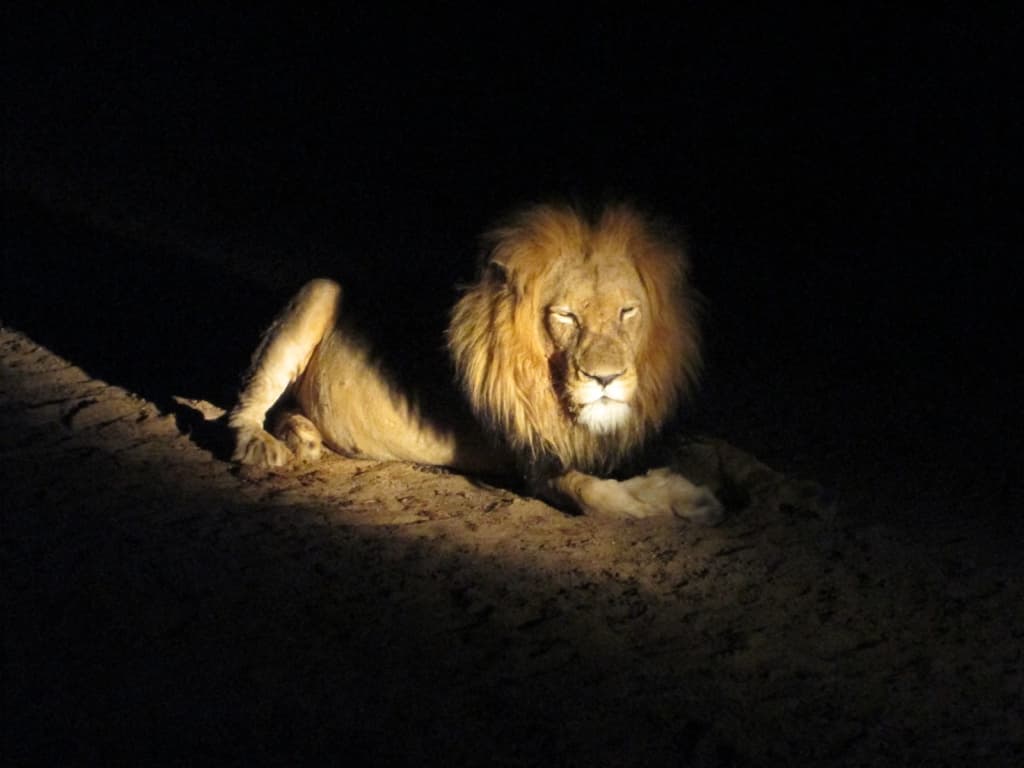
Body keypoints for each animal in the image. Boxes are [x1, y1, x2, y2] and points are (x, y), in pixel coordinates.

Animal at [228, 203, 723, 523]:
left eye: (627, 312)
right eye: (565, 316)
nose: (605, 378)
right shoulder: (535, 460)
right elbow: (595, 495)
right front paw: (685, 499)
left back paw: (305, 436)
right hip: (318, 290)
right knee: (244, 407)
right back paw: (262, 445)